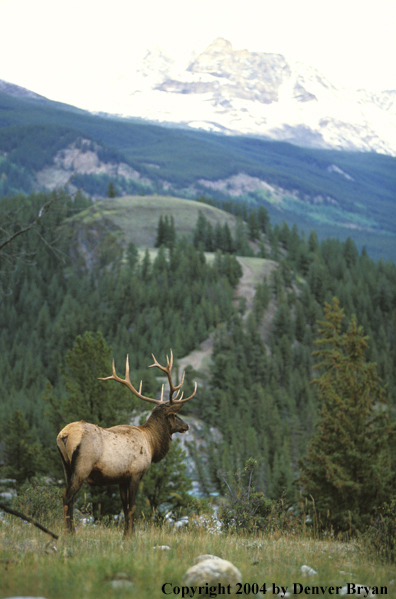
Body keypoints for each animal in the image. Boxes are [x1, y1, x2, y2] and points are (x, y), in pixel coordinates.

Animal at [56, 350, 196, 536]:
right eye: (174, 415)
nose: (186, 425)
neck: (152, 444)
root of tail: (64, 435)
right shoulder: (135, 473)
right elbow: (132, 507)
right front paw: (131, 536)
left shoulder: (121, 478)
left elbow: (124, 507)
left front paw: (124, 535)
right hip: (82, 467)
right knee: (68, 495)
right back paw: (70, 533)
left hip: (66, 467)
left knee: (67, 496)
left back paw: (69, 531)